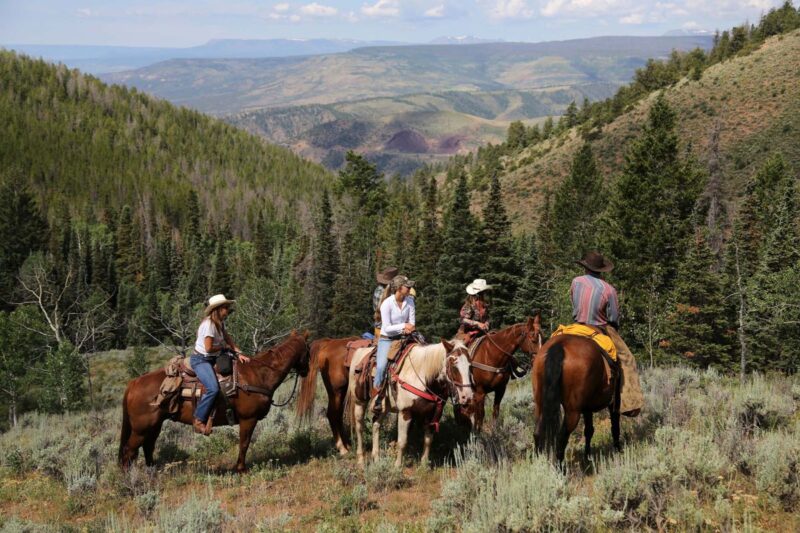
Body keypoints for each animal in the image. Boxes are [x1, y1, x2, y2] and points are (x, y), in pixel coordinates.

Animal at [120, 330, 310, 472]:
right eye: (308, 350)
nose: (306, 371)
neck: (259, 373)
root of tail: (134, 383)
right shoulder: (248, 419)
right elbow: (244, 443)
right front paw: (241, 469)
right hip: (141, 428)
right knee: (129, 451)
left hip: (154, 425)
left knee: (148, 447)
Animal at [536, 334, 620, 464]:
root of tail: (559, 346)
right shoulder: (613, 401)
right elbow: (614, 426)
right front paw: (618, 451)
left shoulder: (587, 408)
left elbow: (589, 430)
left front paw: (587, 457)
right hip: (573, 411)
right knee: (561, 437)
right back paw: (559, 467)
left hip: (540, 404)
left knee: (537, 432)